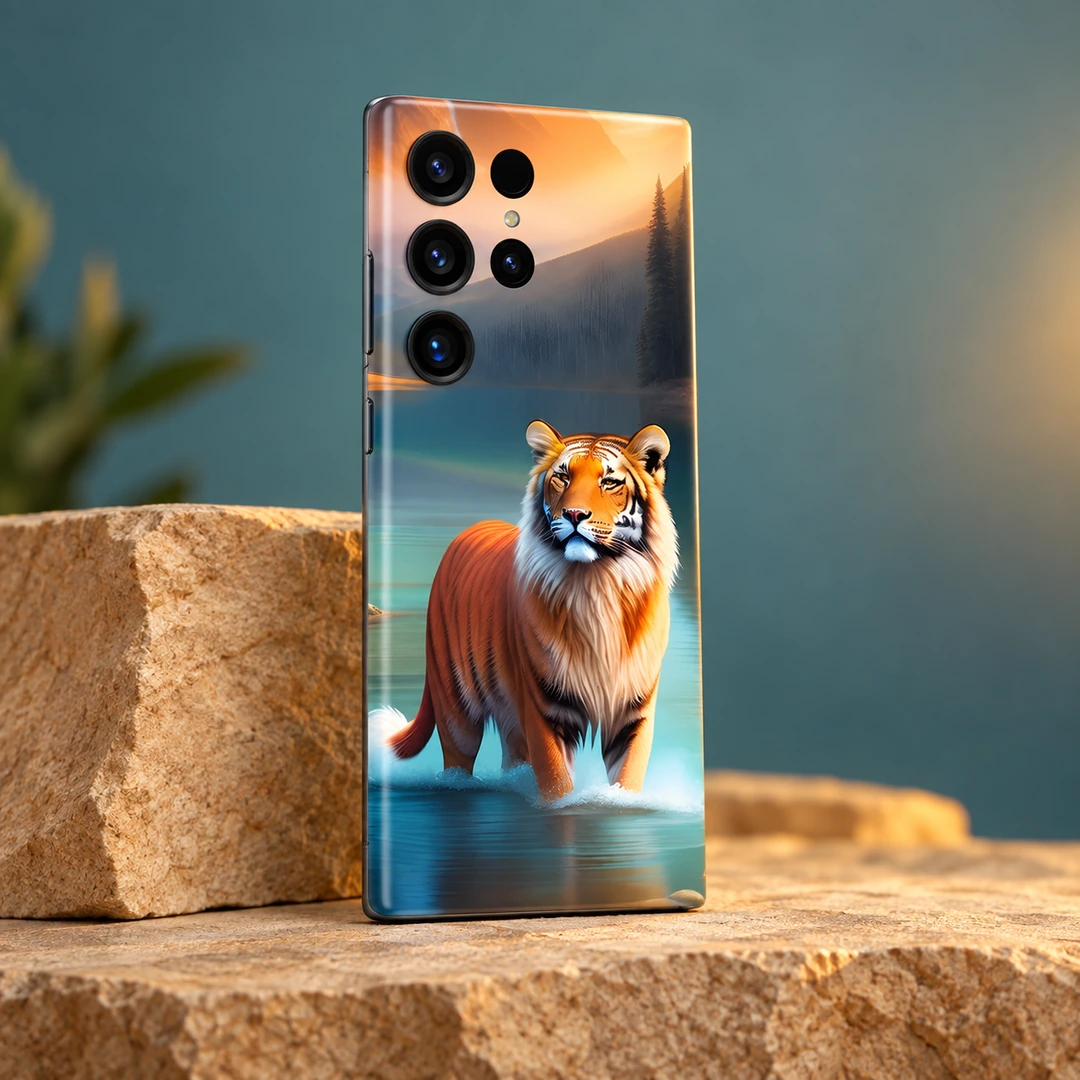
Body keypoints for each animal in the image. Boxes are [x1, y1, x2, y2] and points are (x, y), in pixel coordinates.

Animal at [382, 419, 678, 800]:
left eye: (609, 481)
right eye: (562, 477)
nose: (574, 514)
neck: (597, 583)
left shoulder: (634, 710)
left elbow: (627, 774)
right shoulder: (543, 705)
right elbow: (556, 780)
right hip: (455, 705)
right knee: (458, 758)